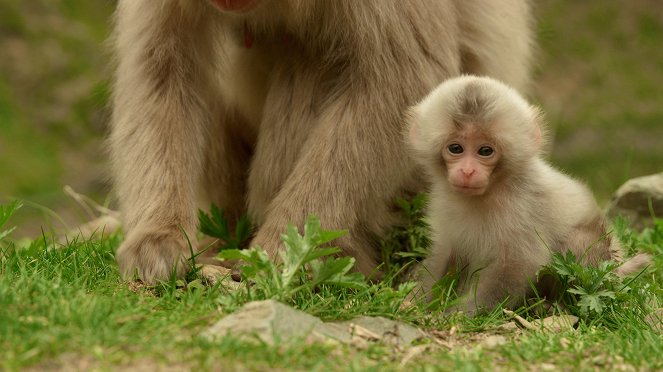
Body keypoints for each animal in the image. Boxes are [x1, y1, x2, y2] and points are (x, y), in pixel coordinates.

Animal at [408, 75, 652, 314]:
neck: (492, 189)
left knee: (578, 243)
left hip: (604, 263)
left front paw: (459, 315)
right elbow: (444, 254)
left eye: (485, 151)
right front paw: (418, 304)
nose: (468, 171)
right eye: (456, 148)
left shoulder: (523, 204)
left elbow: (520, 263)